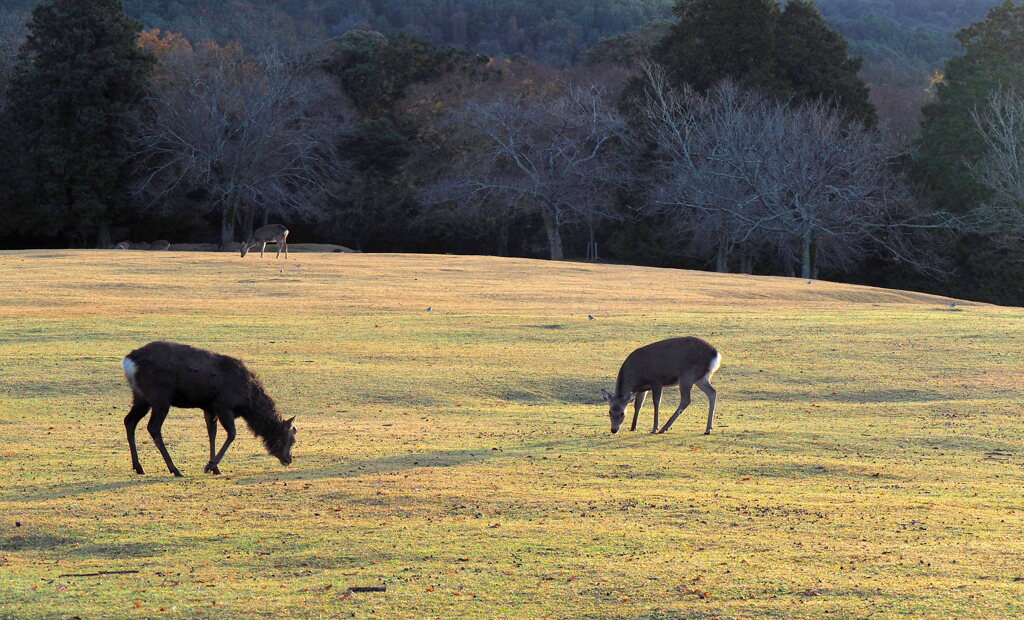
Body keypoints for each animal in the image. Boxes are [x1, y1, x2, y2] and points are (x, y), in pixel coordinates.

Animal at [121, 340, 296, 475]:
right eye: (291, 440)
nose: (288, 460)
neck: (247, 402)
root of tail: (129, 361)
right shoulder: (224, 406)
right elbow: (232, 434)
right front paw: (209, 466)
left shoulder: (209, 408)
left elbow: (212, 434)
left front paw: (215, 468)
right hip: (160, 397)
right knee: (153, 428)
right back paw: (175, 470)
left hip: (141, 397)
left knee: (129, 421)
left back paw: (139, 468)